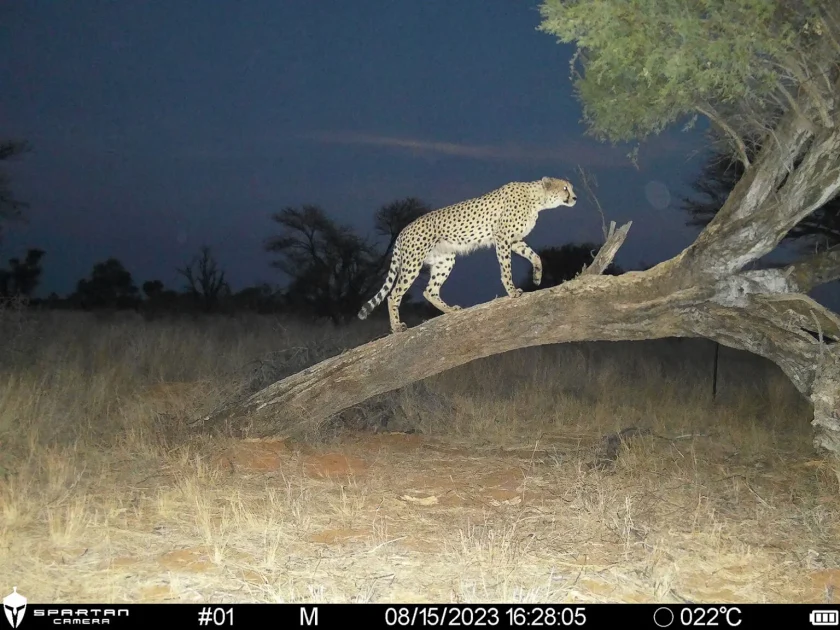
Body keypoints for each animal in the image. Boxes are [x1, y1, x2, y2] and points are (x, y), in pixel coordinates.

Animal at [357, 176, 578, 333]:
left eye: (571, 188)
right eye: (565, 188)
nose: (575, 198)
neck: (537, 200)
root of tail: (402, 231)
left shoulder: (514, 240)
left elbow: (535, 256)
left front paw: (537, 277)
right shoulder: (502, 238)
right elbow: (506, 268)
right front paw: (512, 291)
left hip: (445, 260)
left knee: (429, 290)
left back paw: (450, 311)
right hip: (413, 263)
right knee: (393, 294)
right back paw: (396, 327)